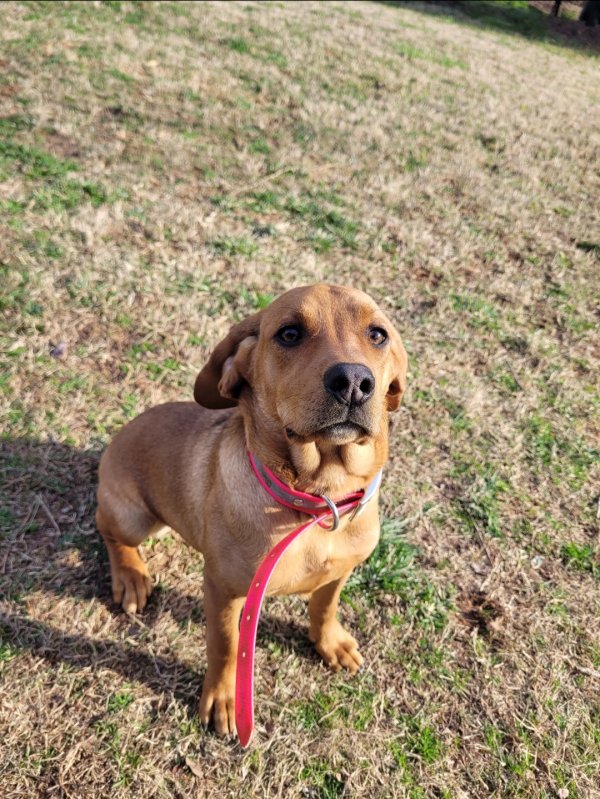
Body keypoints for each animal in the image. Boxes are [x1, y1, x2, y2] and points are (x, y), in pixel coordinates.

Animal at [96, 286, 408, 736]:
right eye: (290, 333)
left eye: (378, 334)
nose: (354, 381)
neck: (316, 502)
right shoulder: (224, 591)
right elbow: (226, 648)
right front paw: (224, 700)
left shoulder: (340, 571)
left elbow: (324, 607)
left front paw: (330, 643)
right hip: (134, 517)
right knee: (108, 530)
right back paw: (131, 577)